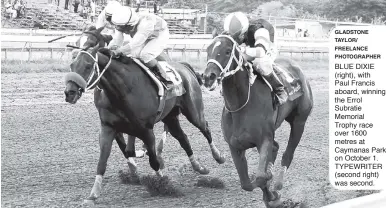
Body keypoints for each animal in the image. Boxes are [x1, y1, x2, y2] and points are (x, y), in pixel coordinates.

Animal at [64, 28, 225, 206]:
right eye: (72, 65)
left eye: (87, 66)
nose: (69, 93)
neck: (122, 90)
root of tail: (183, 66)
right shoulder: (108, 127)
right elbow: (104, 160)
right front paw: (93, 195)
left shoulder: (146, 130)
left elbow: (153, 161)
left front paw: (164, 183)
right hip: (171, 117)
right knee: (183, 138)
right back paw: (199, 167)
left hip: (194, 112)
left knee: (205, 128)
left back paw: (218, 156)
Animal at [202, 35, 314, 207]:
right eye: (208, 50)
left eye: (227, 51)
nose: (208, 77)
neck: (241, 106)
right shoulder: (235, 146)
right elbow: (246, 183)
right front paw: (270, 195)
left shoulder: (264, 140)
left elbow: (261, 177)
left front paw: (272, 189)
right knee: (276, 147)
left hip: (299, 122)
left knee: (287, 154)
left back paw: (278, 183)